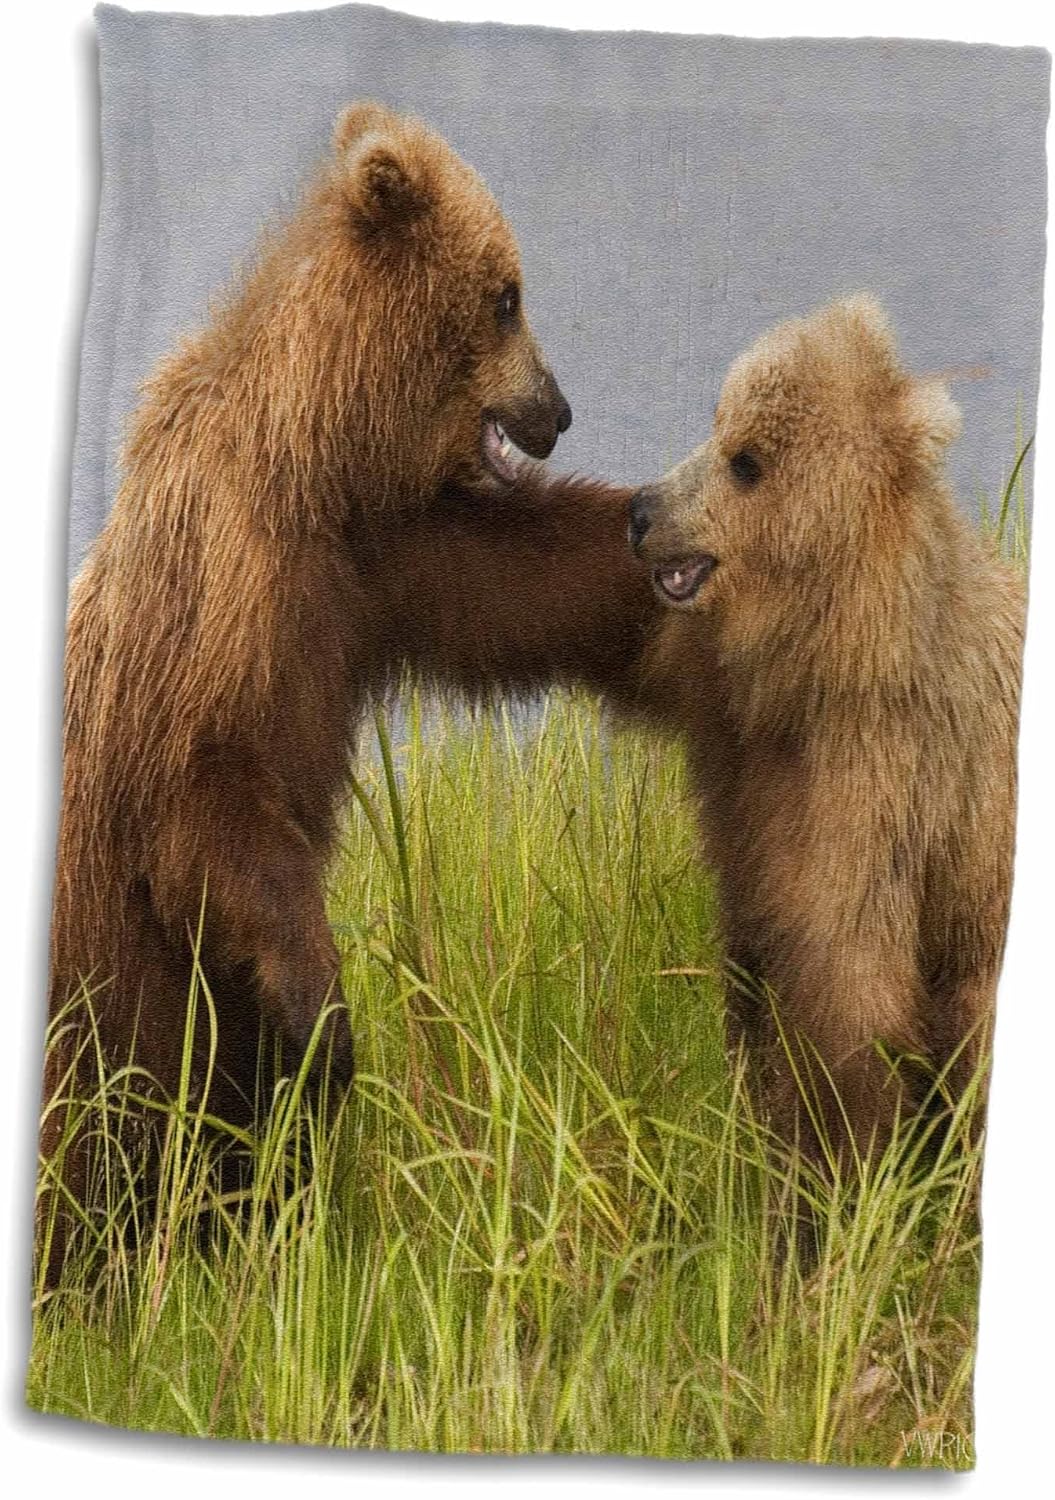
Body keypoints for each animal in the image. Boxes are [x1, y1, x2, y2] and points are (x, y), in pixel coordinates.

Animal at [40, 99, 658, 1280]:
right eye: (506, 294)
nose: (557, 409)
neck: (316, 463)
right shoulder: (224, 588)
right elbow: (208, 796)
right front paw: (325, 1013)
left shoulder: (383, 564)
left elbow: (531, 576)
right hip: (96, 989)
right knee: (95, 1144)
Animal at [628, 295, 1024, 1176]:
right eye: (715, 423)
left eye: (745, 460)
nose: (639, 510)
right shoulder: (754, 789)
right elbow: (759, 967)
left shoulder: (889, 790)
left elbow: (850, 995)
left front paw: (841, 1163)